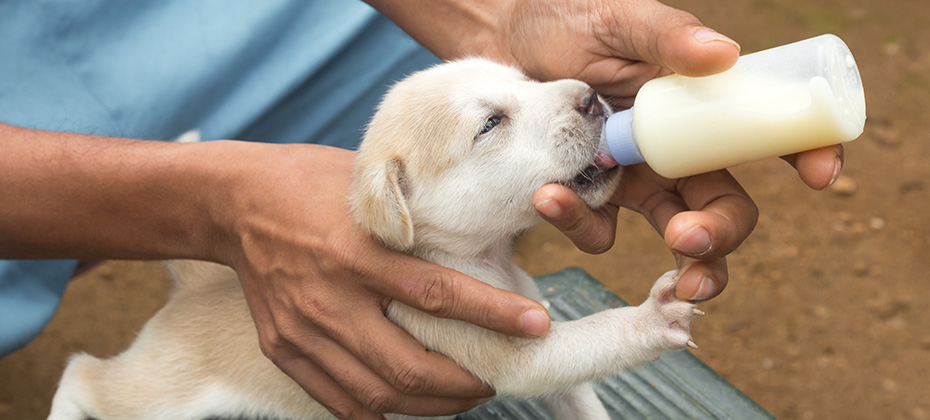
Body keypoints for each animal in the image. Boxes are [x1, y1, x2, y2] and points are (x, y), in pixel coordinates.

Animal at [45, 58, 696, 420]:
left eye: (526, 81)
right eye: (490, 123)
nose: (590, 96)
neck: (483, 257)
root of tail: (190, 291)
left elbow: (583, 399)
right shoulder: (515, 356)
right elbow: (596, 336)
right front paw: (653, 315)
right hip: (159, 397)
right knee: (82, 375)